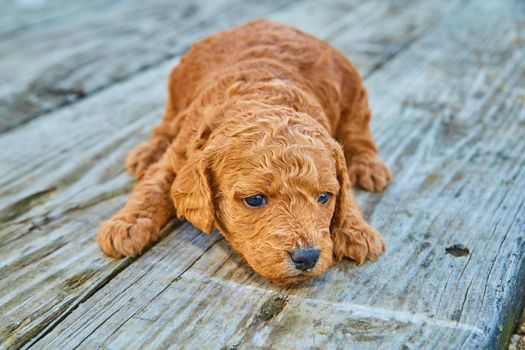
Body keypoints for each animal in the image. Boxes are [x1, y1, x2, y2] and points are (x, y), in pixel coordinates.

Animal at [97, 18, 388, 284]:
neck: (261, 97)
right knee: (164, 125)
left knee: (358, 132)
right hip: (176, 94)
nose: (307, 257)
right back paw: (147, 153)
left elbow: (346, 192)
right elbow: (152, 187)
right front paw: (127, 225)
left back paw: (369, 166)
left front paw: (356, 230)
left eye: (325, 197)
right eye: (255, 199)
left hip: (353, 93)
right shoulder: (179, 154)